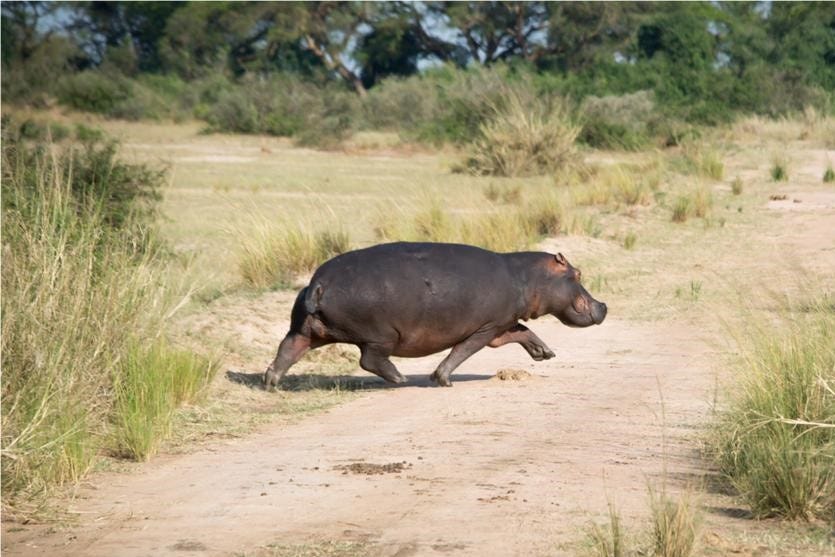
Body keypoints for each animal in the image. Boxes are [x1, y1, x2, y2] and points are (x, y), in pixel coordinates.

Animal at [264, 241, 612, 388]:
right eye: (577, 274)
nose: (604, 306)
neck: (528, 277)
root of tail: (318, 282)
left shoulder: (501, 325)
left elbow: (523, 331)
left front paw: (545, 353)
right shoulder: (486, 328)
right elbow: (462, 351)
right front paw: (442, 379)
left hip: (304, 329)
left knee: (287, 350)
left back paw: (272, 382)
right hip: (381, 335)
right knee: (370, 360)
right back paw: (401, 379)